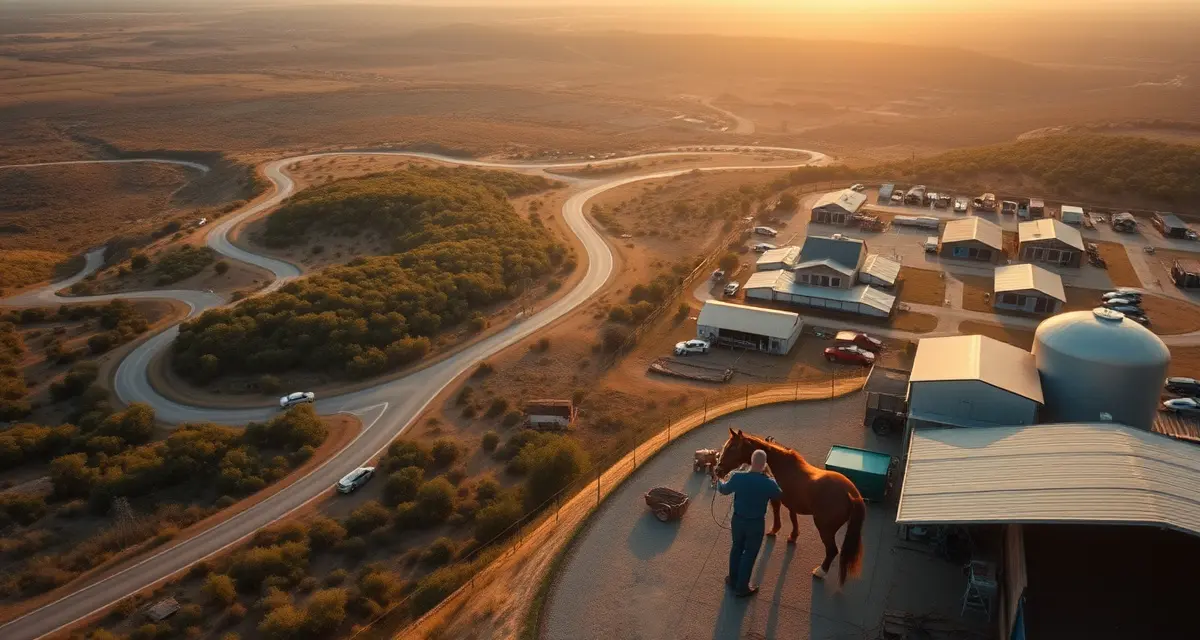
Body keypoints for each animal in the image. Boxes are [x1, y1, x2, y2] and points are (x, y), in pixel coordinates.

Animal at [713, 428, 866, 585]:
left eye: (732, 447)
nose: (717, 470)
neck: (782, 465)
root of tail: (850, 493)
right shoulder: (792, 502)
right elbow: (793, 517)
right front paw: (793, 536)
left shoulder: (775, 497)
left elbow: (776, 511)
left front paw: (774, 530)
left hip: (825, 529)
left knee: (832, 550)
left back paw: (820, 571)